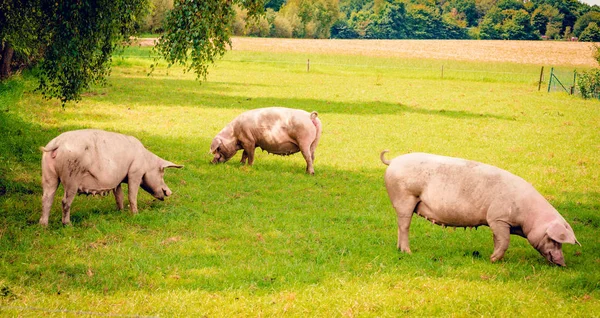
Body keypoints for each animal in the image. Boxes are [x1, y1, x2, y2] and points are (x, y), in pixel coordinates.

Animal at [39, 129, 183, 226]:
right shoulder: (135, 172)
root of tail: (57, 143)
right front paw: (135, 214)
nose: (169, 192)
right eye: (162, 172)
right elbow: (132, 195)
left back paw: (43, 226)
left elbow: (119, 195)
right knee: (64, 201)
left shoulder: (117, 180)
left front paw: (121, 211)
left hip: (48, 173)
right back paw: (68, 224)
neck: (147, 161)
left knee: (47, 198)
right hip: (71, 177)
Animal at [380, 152, 580, 266]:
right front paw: (492, 260)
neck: (527, 216)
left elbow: (497, 240)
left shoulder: (497, 222)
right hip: (405, 197)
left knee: (400, 225)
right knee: (404, 225)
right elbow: (504, 241)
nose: (563, 264)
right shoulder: (498, 218)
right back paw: (408, 251)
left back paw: (400, 249)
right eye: (554, 240)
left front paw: (493, 258)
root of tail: (393, 161)